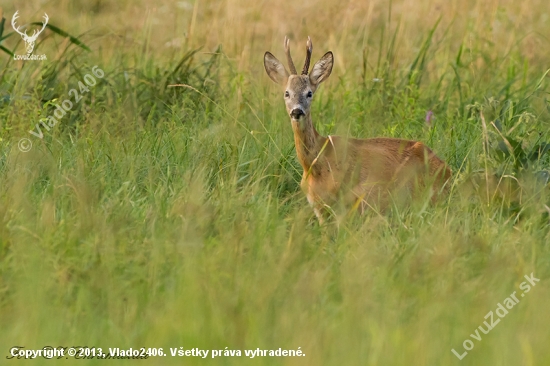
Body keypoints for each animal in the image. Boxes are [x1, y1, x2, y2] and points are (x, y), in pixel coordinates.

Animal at [264, 36, 452, 223]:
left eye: (309, 93)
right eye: (287, 93)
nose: (297, 111)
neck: (315, 165)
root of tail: (448, 171)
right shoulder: (318, 207)